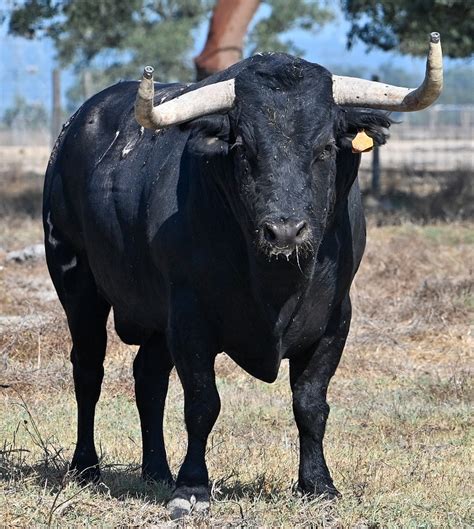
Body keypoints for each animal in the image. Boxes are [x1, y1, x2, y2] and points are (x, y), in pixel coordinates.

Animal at [42, 52, 390, 512]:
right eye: (243, 148)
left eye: (326, 148)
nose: (284, 232)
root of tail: (76, 125)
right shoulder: (191, 318)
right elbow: (202, 402)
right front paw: (192, 487)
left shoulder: (335, 318)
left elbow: (311, 403)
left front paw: (318, 484)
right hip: (77, 285)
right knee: (88, 371)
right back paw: (86, 467)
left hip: (157, 317)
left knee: (149, 378)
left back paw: (156, 470)